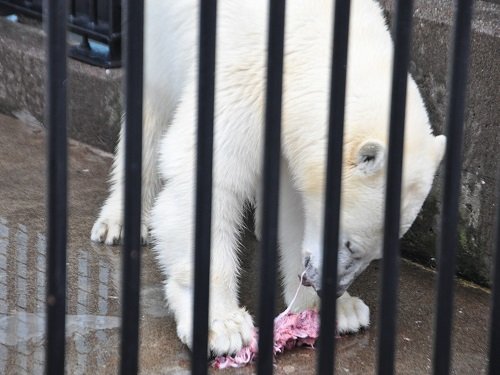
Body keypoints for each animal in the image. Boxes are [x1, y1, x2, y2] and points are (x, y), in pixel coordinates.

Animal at [91, 0, 446, 356]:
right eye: (349, 244)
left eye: (374, 255)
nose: (327, 288)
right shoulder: (241, 69)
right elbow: (209, 178)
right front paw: (224, 326)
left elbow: (298, 205)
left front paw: (340, 311)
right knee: (153, 104)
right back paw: (118, 222)